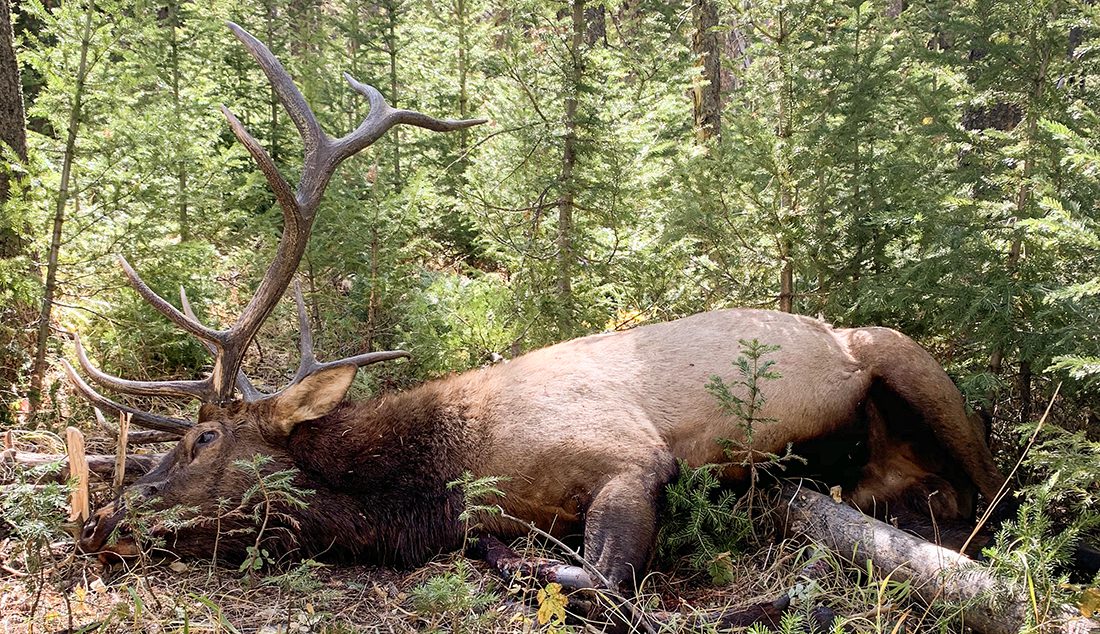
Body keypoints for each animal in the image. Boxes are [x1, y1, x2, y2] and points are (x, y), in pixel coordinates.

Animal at [69, 23, 1008, 601]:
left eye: (202, 438)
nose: (103, 519)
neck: (436, 480)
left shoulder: (629, 453)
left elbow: (595, 574)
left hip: (903, 359)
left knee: (993, 489)